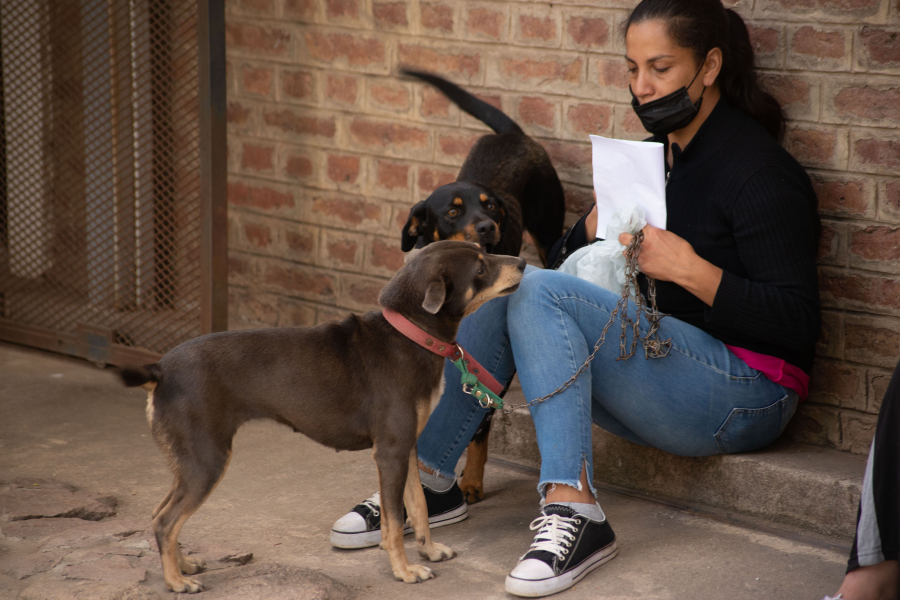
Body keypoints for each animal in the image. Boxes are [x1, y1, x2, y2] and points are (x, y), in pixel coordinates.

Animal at [119, 241, 528, 592]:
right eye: (480, 266)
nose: (524, 262)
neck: (410, 335)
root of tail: (160, 369)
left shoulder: (407, 446)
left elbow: (418, 506)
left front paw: (427, 551)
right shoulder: (391, 451)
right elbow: (396, 521)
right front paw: (404, 569)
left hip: (189, 462)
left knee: (160, 515)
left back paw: (183, 564)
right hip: (207, 460)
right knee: (165, 520)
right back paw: (176, 581)